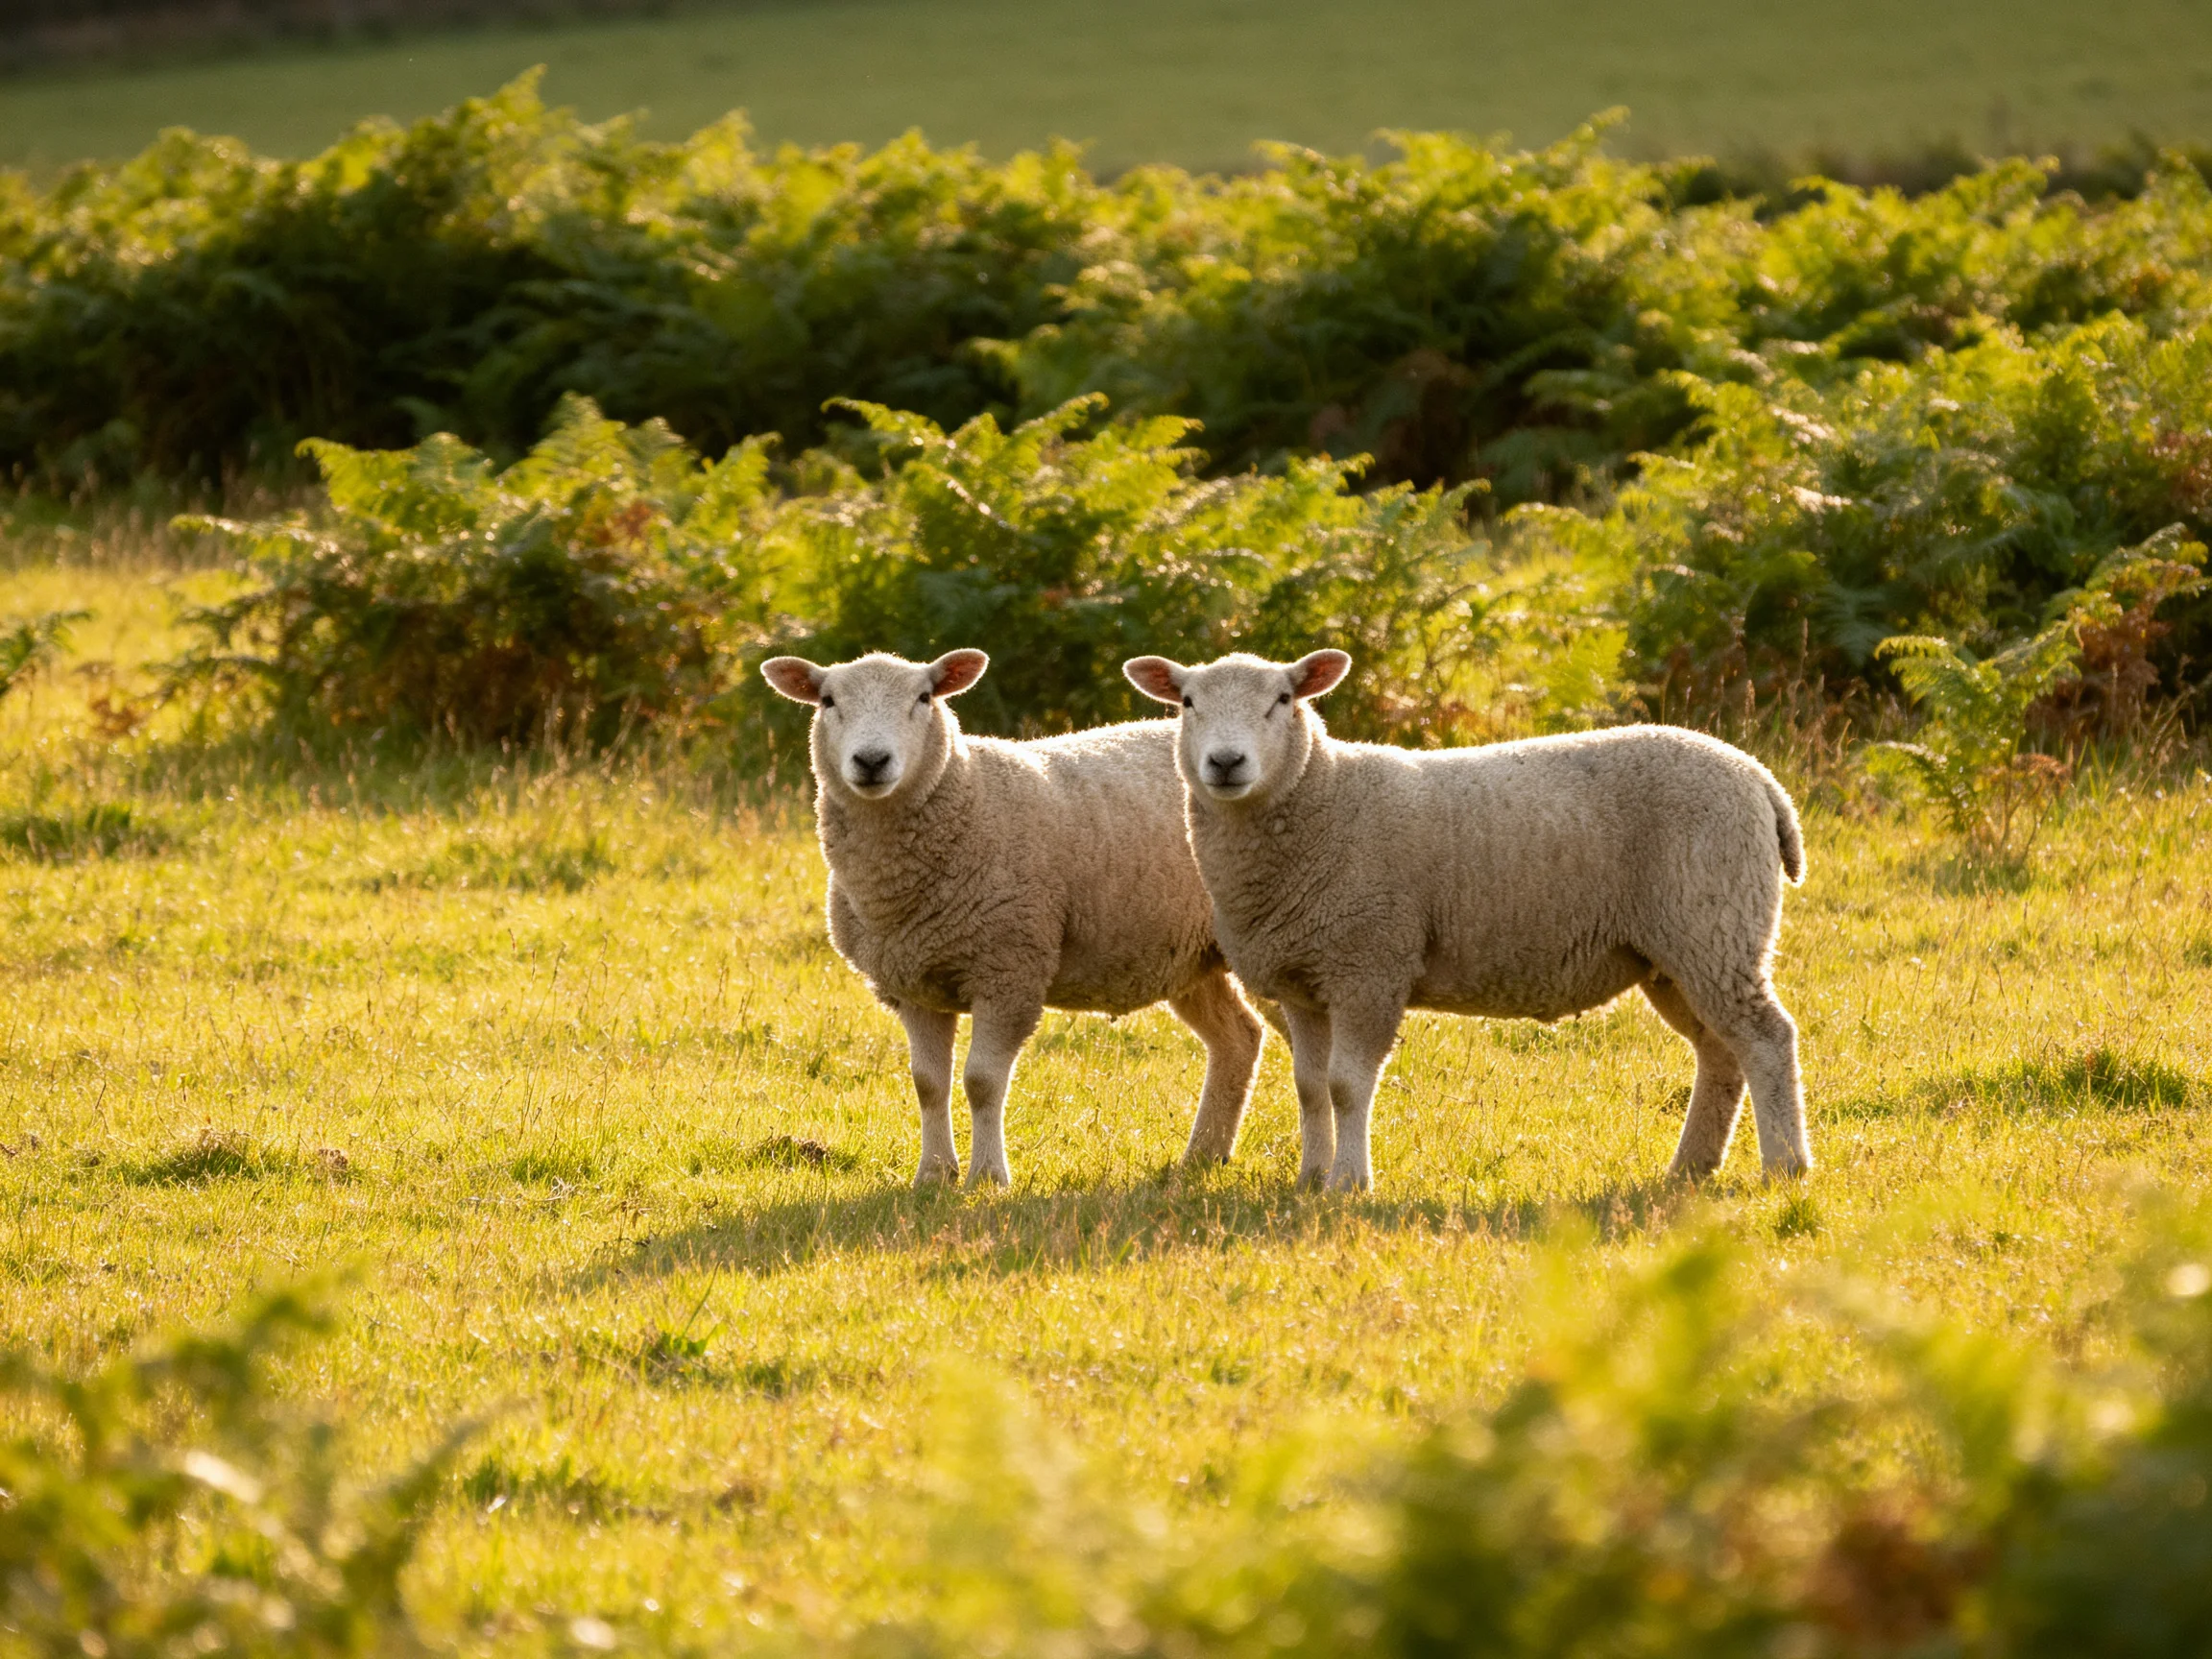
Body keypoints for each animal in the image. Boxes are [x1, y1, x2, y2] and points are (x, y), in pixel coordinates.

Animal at [761, 648, 1267, 1187]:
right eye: (828, 701)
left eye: (923, 698)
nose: (872, 761)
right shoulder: (915, 982)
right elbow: (928, 1084)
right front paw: (934, 1175)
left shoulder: (1009, 970)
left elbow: (981, 1081)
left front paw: (987, 1176)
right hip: (1188, 955)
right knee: (1239, 1038)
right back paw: (1204, 1156)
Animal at [1122, 648, 1811, 1193]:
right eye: (1187, 702)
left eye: (1283, 700)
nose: (1226, 762)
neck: (1324, 799)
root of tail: (1760, 778)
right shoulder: (1306, 982)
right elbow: (1310, 1087)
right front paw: (1311, 1179)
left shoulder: (1370, 965)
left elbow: (1346, 1086)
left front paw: (1350, 1183)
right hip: (1677, 953)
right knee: (1721, 1051)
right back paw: (1692, 1167)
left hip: (1714, 924)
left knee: (1767, 1039)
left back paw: (1785, 1166)